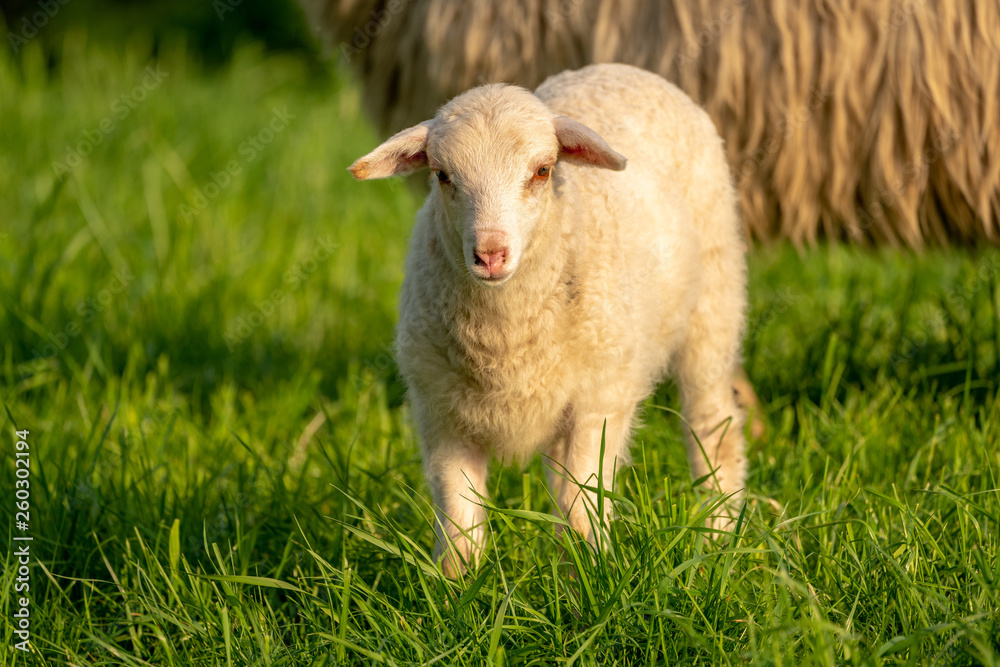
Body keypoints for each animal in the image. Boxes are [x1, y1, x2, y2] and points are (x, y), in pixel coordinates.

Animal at [349, 63, 748, 576]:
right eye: (442, 175)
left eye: (542, 171)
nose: (491, 254)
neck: (505, 336)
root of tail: (618, 69)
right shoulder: (440, 413)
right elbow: (460, 525)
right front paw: (459, 588)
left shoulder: (599, 403)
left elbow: (581, 511)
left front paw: (589, 582)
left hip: (714, 303)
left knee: (713, 425)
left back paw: (719, 531)